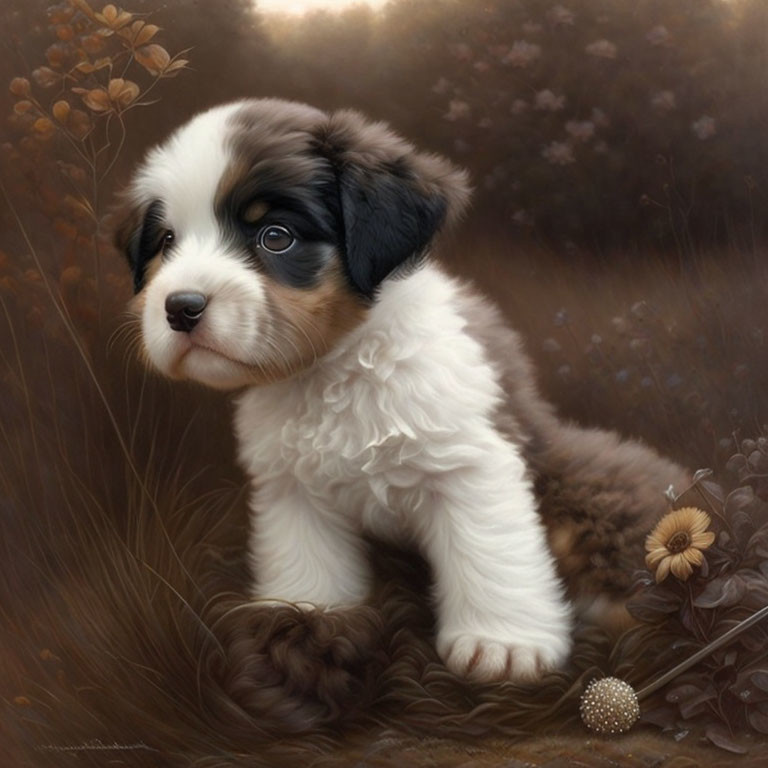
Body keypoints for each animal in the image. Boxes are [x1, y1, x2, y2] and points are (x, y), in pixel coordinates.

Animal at [114, 97, 688, 684]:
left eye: (275, 235)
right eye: (167, 241)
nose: (180, 307)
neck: (336, 369)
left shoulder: (471, 467)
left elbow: (489, 553)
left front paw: (502, 643)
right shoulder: (293, 489)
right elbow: (308, 562)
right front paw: (306, 622)